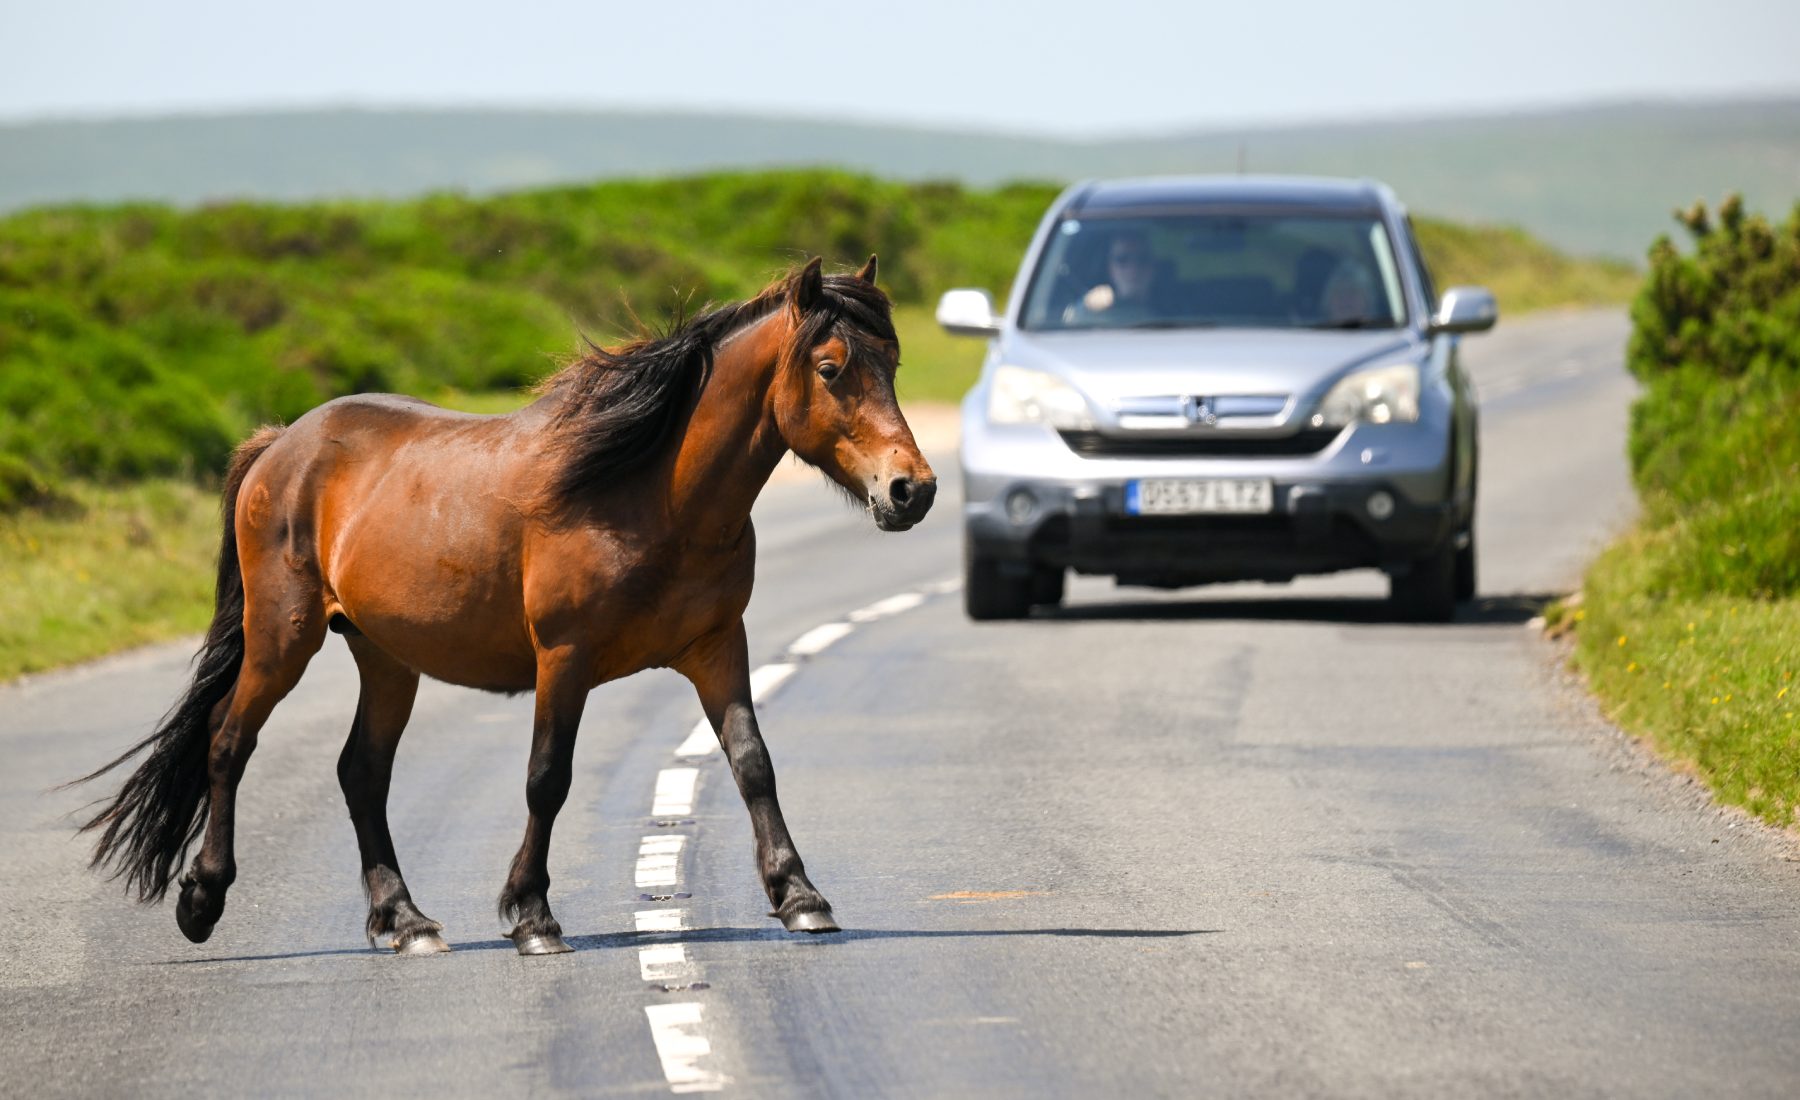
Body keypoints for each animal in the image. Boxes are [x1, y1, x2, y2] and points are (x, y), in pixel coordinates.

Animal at [73, 255, 936, 955]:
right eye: (830, 367)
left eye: (893, 361)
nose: (911, 490)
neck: (650, 496)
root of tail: (282, 443)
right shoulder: (565, 659)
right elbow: (547, 778)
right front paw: (531, 915)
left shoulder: (718, 647)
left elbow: (753, 762)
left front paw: (801, 897)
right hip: (283, 637)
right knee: (229, 741)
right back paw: (202, 900)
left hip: (386, 657)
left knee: (361, 772)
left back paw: (406, 921)